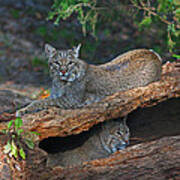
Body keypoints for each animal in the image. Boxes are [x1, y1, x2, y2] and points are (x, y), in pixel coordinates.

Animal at [15, 44, 162, 116]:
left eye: (70, 63)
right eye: (57, 63)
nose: (63, 71)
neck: (60, 82)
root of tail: (152, 54)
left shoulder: (71, 101)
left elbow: (42, 101)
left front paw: (22, 110)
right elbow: (43, 100)